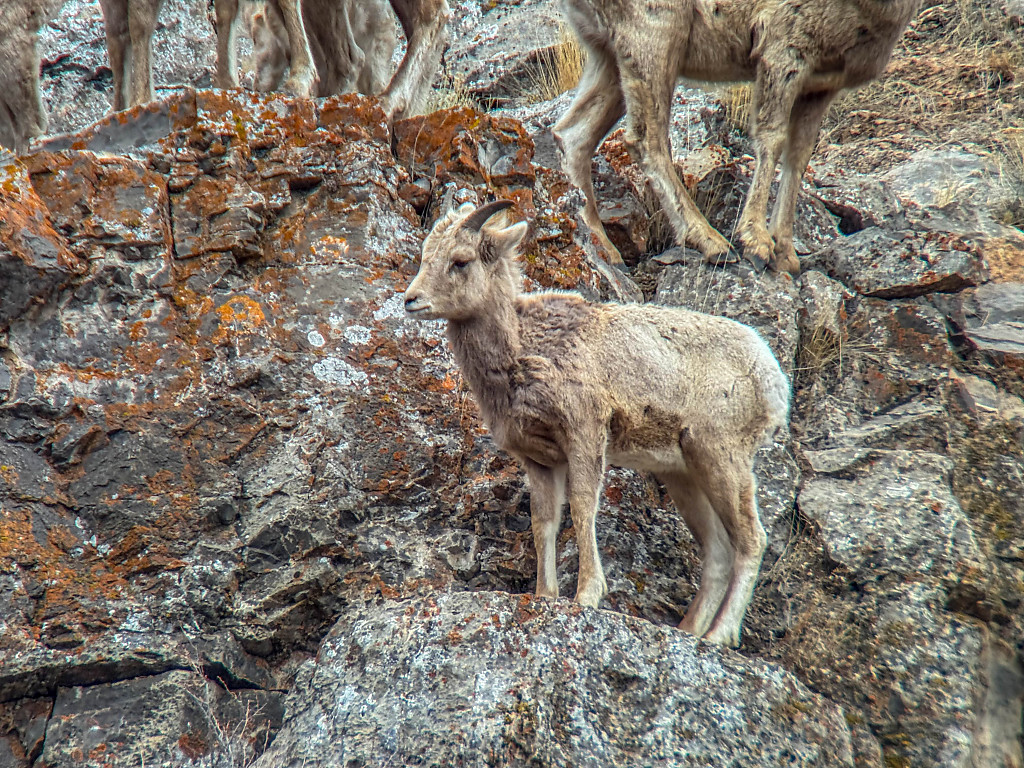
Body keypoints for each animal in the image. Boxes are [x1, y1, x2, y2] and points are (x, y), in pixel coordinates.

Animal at [403, 200, 790, 647]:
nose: (411, 300)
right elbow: (544, 522)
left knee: (751, 540)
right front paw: (546, 595)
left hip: (723, 457)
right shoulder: (540, 460)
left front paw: (587, 595)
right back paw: (687, 630)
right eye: (425, 256)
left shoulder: (585, 435)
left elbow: (583, 505)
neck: (524, 352)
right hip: (685, 474)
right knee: (718, 552)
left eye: (460, 261)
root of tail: (774, 380)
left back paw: (718, 636)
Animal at [553, 0, 922, 273]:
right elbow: (771, 140)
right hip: (654, 34)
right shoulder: (784, 50)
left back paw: (605, 250)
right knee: (645, 140)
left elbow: (799, 157)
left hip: (609, 53)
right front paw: (757, 243)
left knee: (573, 135)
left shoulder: (821, 85)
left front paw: (786, 255)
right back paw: (713, 243)